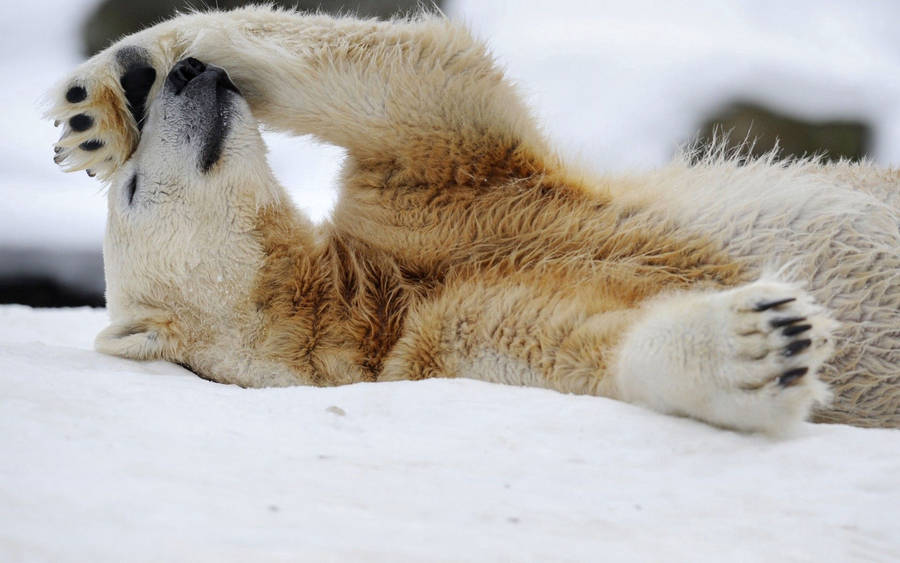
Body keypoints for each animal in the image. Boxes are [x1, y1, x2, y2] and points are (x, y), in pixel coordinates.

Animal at [46, 6, 898, 431]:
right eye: (134, 193)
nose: (189, 80)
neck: (368, 302)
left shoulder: (437, 204)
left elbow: (419, 83)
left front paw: (105, 94)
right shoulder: (446, 342)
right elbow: (587, 350)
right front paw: (763, 339)